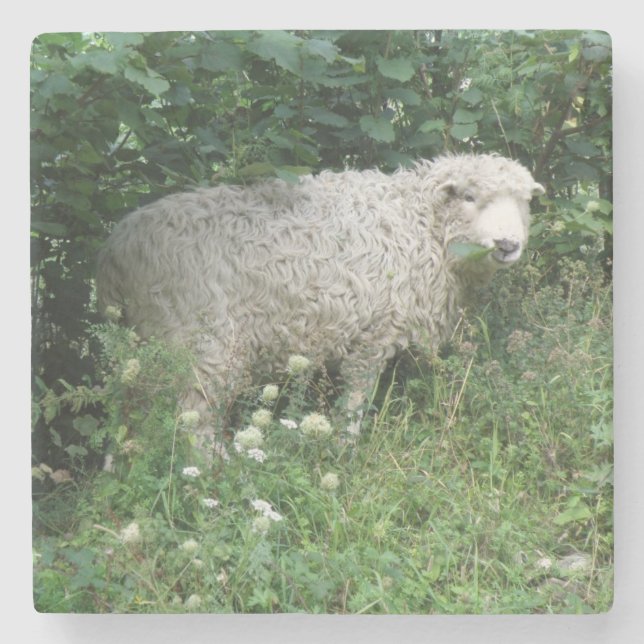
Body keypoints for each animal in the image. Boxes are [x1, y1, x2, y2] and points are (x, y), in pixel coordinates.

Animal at [96, 153, 544, 448]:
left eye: (525, 202)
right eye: (469, 196)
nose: (507, 245)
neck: (419, 223)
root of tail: (117, 250)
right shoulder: (373, 334)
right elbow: (355, 402)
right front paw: (345, 450)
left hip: (138, 343)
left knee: (127, 410)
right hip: (201, 340)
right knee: (193, 419)